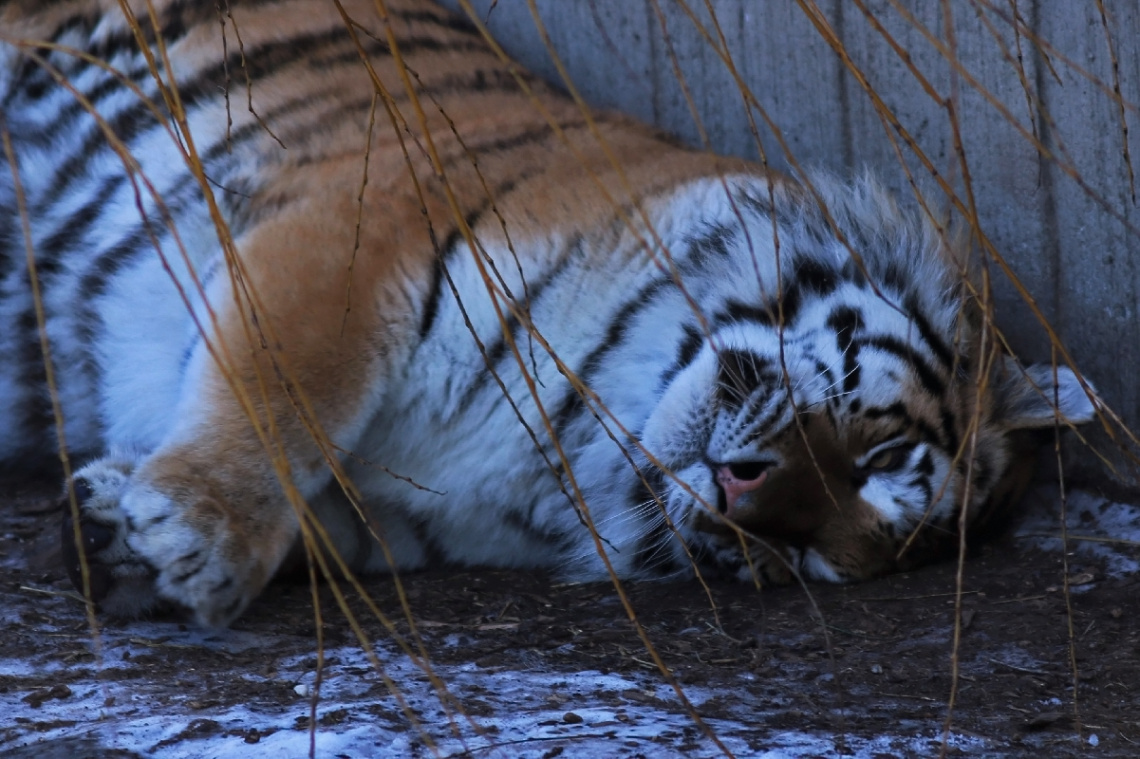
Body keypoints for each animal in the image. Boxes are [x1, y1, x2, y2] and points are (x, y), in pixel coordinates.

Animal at [0, 0, 1095, 628]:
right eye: (876, 458)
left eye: (811, 558)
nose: (747, 508)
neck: (571, 440)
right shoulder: (369, 216)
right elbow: (283, 387)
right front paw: (199, 531)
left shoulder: (398, 521)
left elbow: (323, 528)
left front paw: (119, 529)